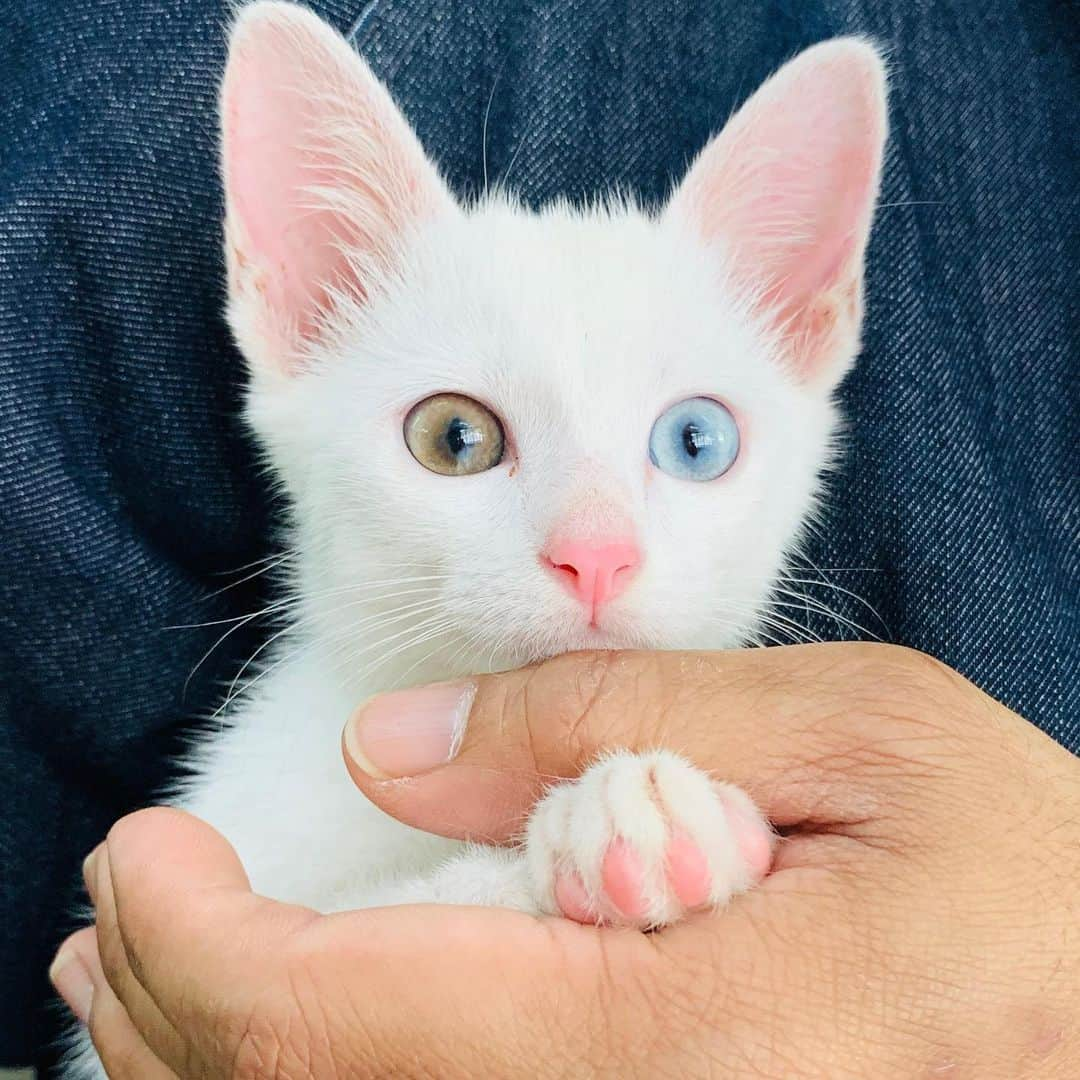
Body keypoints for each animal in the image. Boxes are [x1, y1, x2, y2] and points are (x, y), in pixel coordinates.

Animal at [61, 2, 885, 1071]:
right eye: (453, 438)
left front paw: (636, 815)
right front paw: (616, 824)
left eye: (697, 442)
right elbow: (374, 913)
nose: (596, 552)